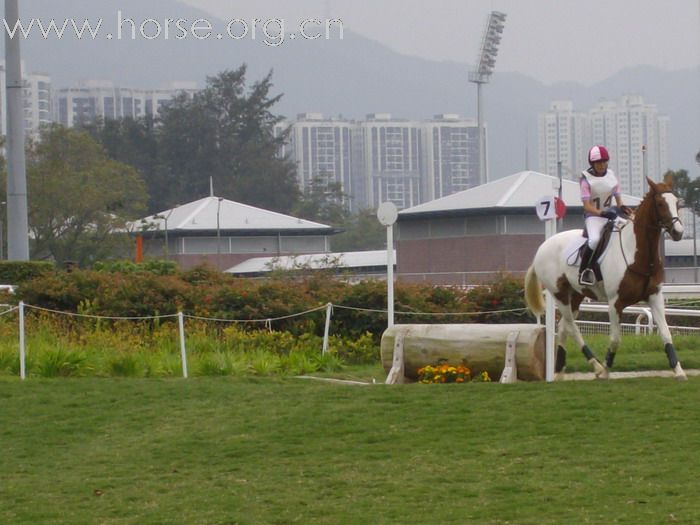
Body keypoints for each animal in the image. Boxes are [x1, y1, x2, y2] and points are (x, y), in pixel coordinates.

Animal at [524, 174, 684, 378]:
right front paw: (606, 369)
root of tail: (542, 248)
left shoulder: (654, 296)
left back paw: (559, 370)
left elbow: (666, 333)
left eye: (677, 203)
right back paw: (596, 366)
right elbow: (615, 339)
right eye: (660, 204)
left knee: (563, 327)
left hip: (576, 295)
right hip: (559, 294)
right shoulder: (615, 303)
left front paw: (678, 370)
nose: (678, 232)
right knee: (572, 327)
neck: (636, 254)